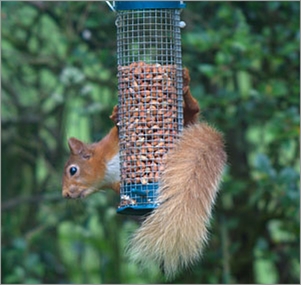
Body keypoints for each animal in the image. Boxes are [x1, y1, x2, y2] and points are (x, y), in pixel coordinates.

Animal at [61, 67, 225, 278]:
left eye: (73, 170)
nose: (65, 194)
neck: (107, 168)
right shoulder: (118, 184)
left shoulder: (112, 142)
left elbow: (116, 128)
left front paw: (116, 115)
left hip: (186, 119)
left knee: (193, 109)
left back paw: (186, 84)